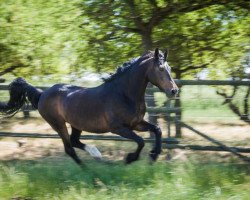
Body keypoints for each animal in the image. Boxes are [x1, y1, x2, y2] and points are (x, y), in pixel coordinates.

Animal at [0, 48, 179, 164]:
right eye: (160, 68)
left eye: (169, 68)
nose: (174, 90)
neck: (124, 94)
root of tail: (42, 94)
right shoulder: (119, 128)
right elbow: (141, 141)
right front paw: (130, 158)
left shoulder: (136, 123)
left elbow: (157, 130)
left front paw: (154, 155)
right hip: (58, 124)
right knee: (69, 148)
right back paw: (91, 173)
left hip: (76, 124)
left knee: (74, 142)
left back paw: (96, 155)